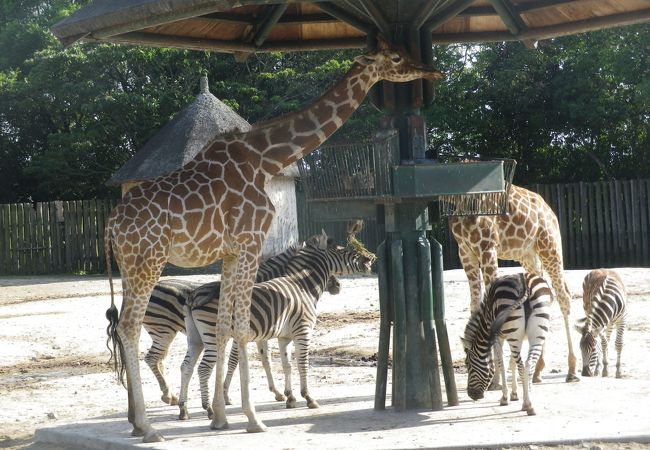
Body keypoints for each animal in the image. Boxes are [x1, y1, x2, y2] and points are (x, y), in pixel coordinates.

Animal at [142, 237, 340, 406]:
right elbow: (234, 362)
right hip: (164, 330)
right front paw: (226, 395)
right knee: (152, 358)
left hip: (165, 332)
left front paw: (277, 392)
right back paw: (168, 395)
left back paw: (170, 396)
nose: (338, 286)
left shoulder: (263, 333)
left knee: (159, 360)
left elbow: (266, 360)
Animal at [177, 236, 372, 422]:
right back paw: (208, 409)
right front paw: (307, 397)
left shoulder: (282, 336)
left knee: (186, 366)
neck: (303, 286)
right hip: (213, 335)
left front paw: (289, 397)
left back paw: (183, 409)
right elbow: (301, 363)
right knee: (203, 368)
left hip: (196, 338)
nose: (369, 259)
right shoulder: (302, 331)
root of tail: (193, 294)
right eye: (343, 250)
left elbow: (284, 364)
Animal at [448, 183, 580, 384]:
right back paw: (537, 370)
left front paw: (495, 379)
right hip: (528, 255)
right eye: (467, 362)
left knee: (563, 296)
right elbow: (474, 306)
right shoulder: (465, 252)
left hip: (549, 246)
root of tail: (549, 210)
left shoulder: (487, 248)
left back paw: (572, 370)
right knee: (543, 294)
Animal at [460, 270, 552, 414]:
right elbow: (512, 363)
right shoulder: (517, 337)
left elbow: (501, 363)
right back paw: (529, 401)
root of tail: (525, 283)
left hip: (515, 333)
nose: (472, 395)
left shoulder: (498, 337)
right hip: (537, 332)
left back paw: (527, 404)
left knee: (522, 365)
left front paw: (505, 397)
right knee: (529, 363)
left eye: (468, 364)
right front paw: (517, 393)